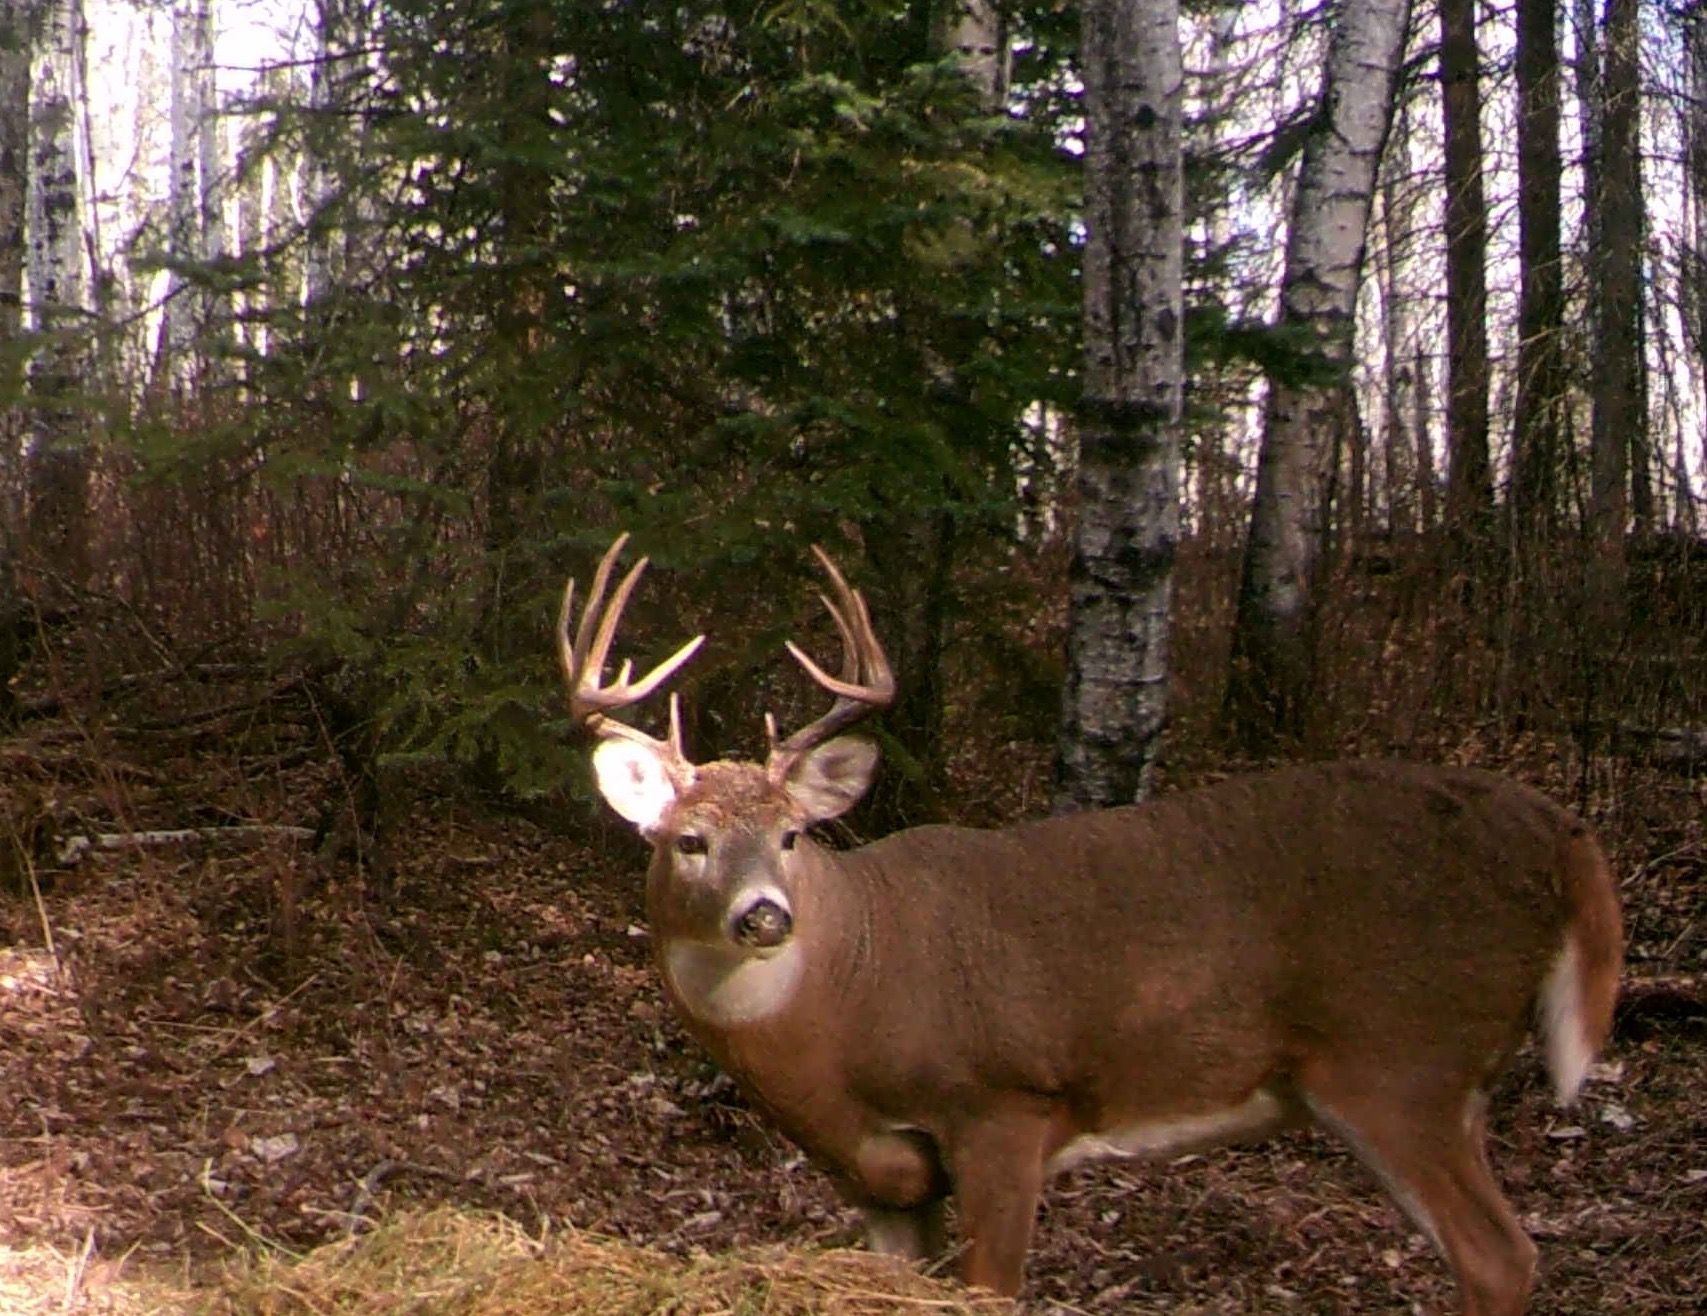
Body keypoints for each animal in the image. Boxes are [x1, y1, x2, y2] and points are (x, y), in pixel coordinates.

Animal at [558, 533, 1623, 1316]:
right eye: (689, 841)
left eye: (790, 836)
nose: (765, 914)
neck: (850, 994)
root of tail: (1559, 831)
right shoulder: (878, 1176)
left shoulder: (1003, 1107)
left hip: (1402, 1059)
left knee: (1499, 1257)